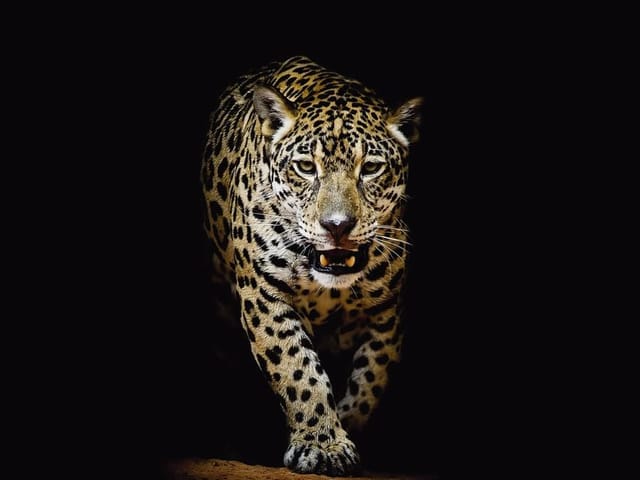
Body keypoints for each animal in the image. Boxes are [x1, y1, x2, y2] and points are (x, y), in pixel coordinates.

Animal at [201, 55, 422, 476]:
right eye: (305, 167)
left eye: (370, 168)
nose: (337, 226)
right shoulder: (264, 294)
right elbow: (297, 369)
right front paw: (323, 444)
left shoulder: (388, 311)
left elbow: (371, 377)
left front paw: (346, 428)